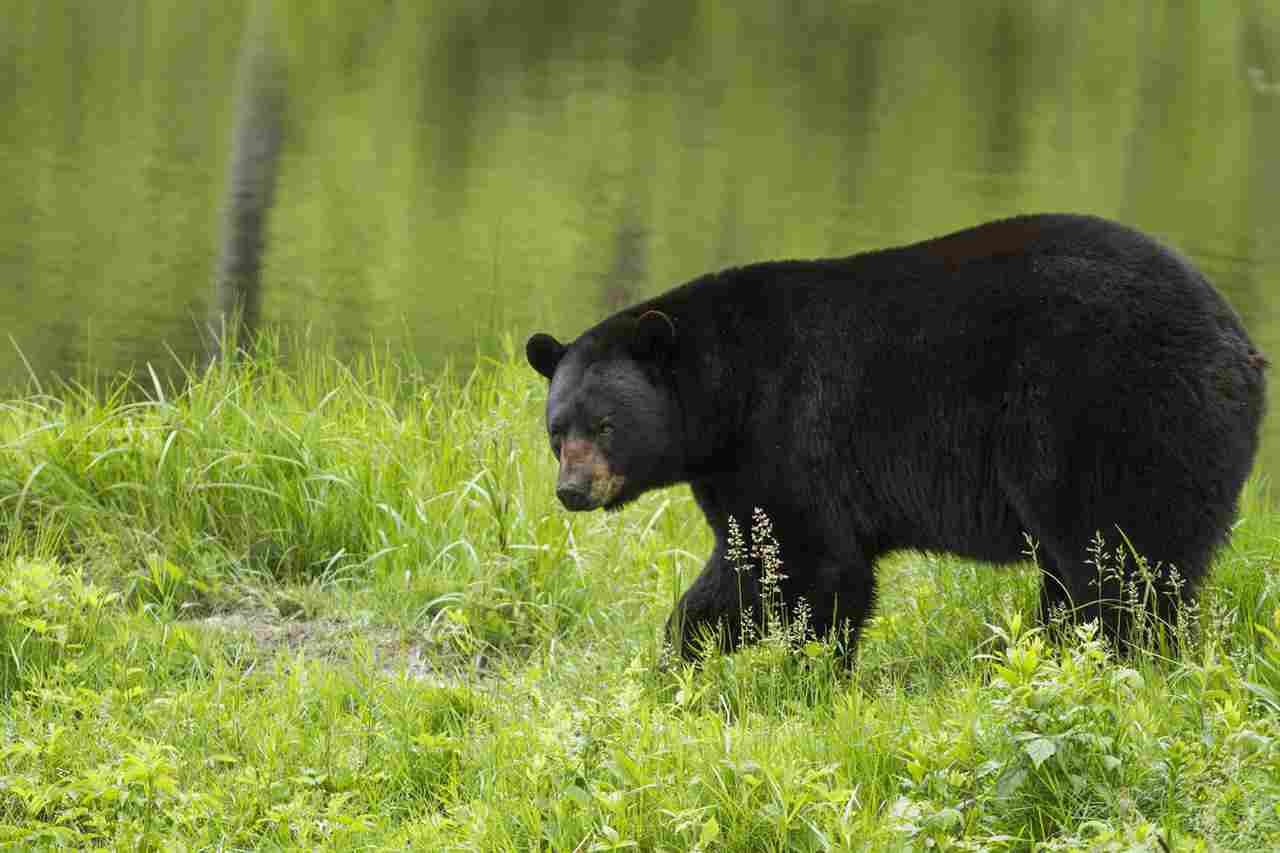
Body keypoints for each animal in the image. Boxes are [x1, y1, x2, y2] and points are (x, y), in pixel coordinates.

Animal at [524, 213, 1264, 655]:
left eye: (605, 424)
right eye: (557, 430)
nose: (572, 490)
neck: (726, 391)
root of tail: (1242, 347)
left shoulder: (788, 429)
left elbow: (807, 562)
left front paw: (808, 670)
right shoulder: (734, 466)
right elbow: (752, 555)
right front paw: (688, 649)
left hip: (1114, 418)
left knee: (1123, 561)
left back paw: (1118, 652)